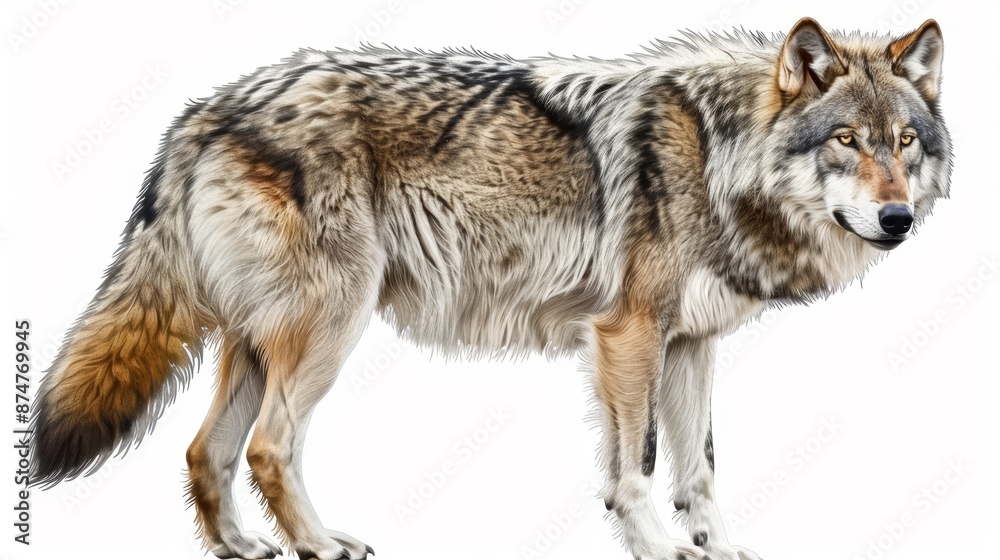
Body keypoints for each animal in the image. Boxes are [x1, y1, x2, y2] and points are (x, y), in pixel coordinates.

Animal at [29, 17, 950, 560]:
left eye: (905, 141)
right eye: (846, 140)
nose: (899, 218)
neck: (721, 156)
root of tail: (204, 110)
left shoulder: (691, 344)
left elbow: (702, 471)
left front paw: (719, 553)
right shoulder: (628, 335)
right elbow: (636, 466)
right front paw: (659, 548)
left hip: (263, 342)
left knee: (202, 450)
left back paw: (241, 547)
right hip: (329, 327)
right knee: (266, 447)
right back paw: (322, 545)